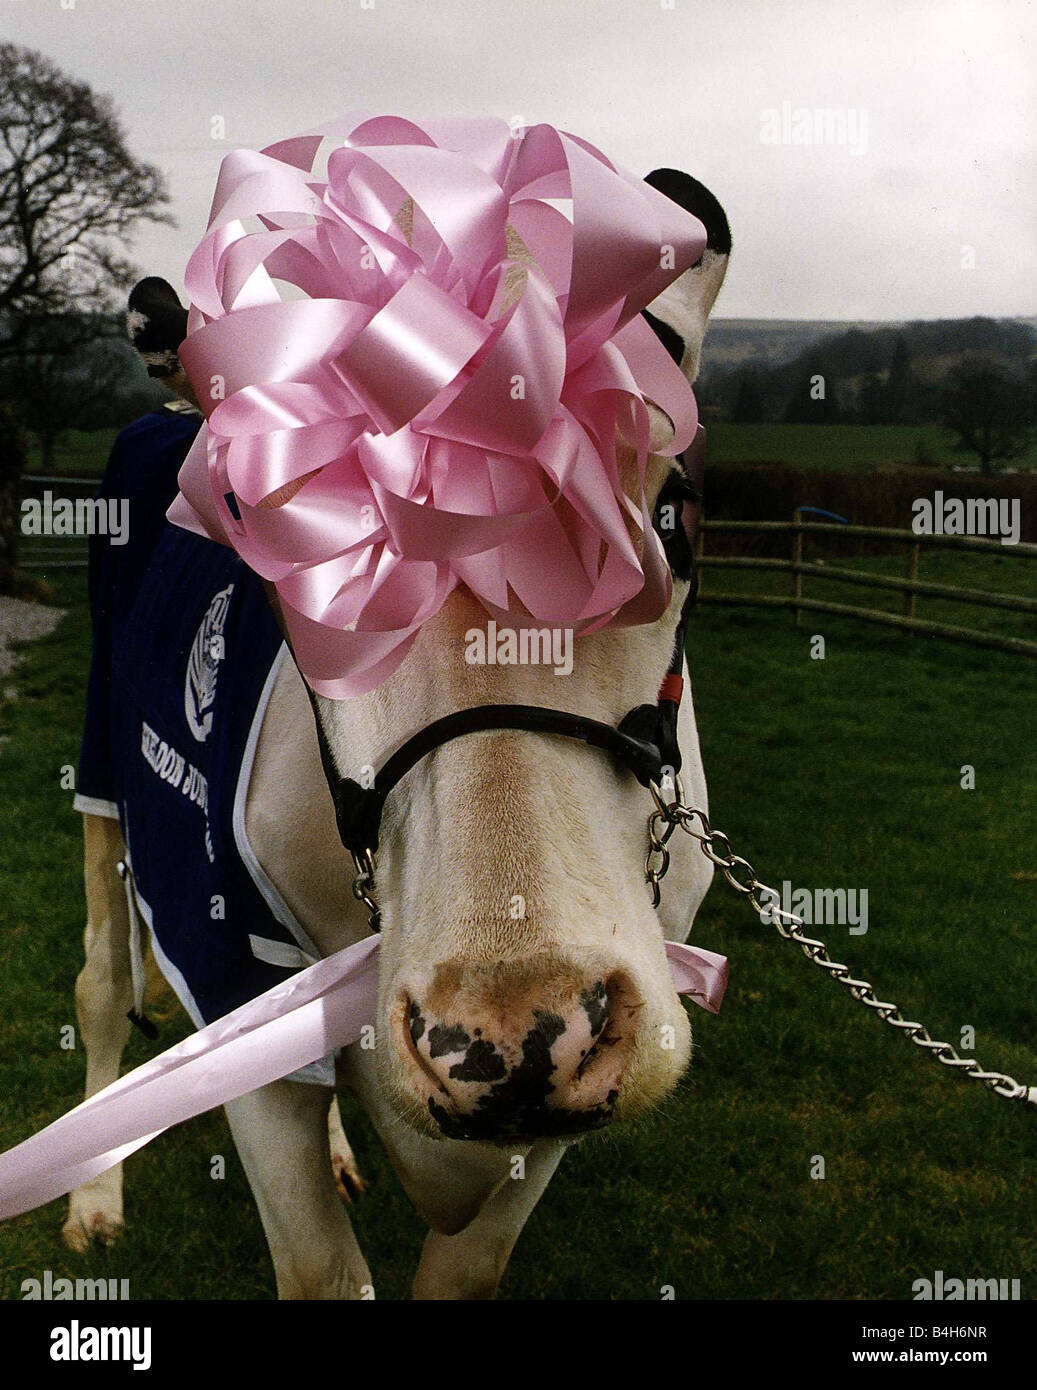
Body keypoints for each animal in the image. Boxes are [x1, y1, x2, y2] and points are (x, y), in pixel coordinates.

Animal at [62, 168, 728, 1295]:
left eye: (676, 518)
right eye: (279, 534)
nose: (514, 1035)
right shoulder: (233, 970)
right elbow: (323, 1269)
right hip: (105, 766)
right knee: (102, 974)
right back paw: (93, 1200)